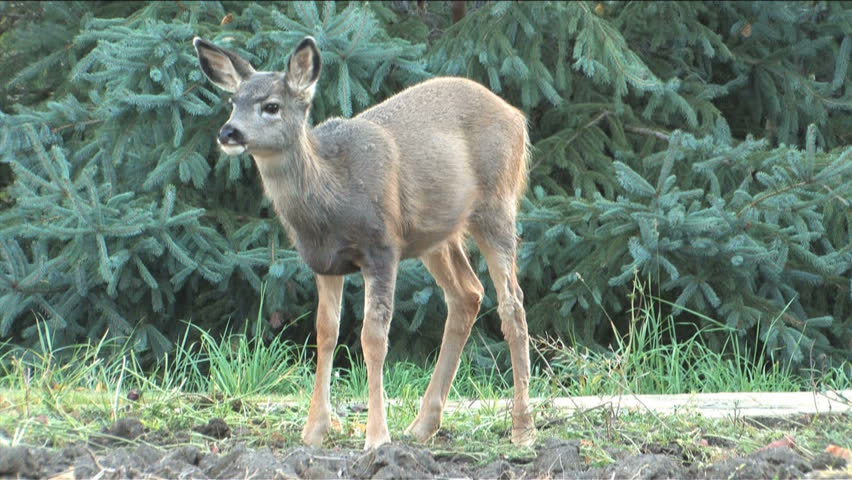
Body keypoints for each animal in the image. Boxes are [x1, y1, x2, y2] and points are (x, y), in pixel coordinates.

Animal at [193, 36, 536, 450]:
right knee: (467, 293)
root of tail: (517, 117)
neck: (331, 197)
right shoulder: (323, 261)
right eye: (233, 102)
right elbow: (326, 332)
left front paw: (376, 437)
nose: (229, 133)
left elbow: (373, 337)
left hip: (496, 204)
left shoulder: (382, 247)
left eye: (271, 106)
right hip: (435, 235)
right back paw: (423, 425)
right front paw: (314, 430)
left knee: (512, 303)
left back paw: (522, 428)